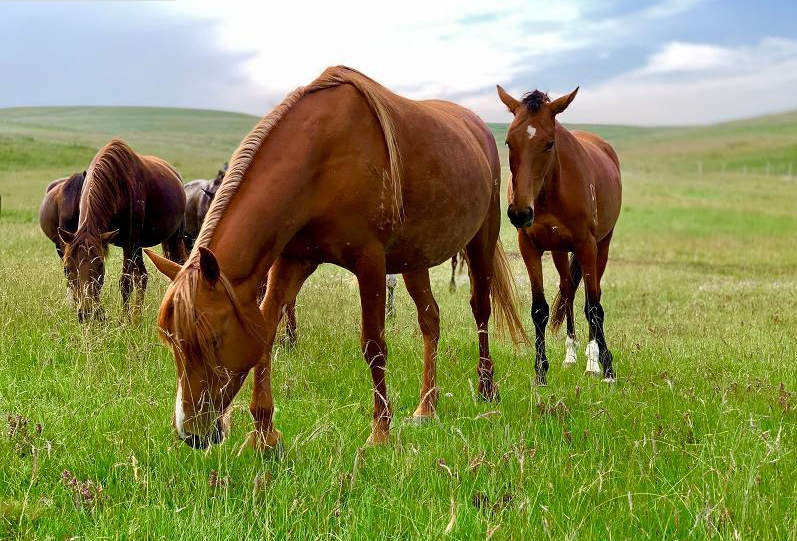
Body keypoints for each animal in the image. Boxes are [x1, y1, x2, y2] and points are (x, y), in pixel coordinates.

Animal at [59, 139, 187, 320]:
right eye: (66, 268)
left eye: (100, 266)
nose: (86, 312)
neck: (117, 185)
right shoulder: (131, 244)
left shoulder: (129, 242)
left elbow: (125, 283)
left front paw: (124, 320)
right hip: (139, 246)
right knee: (142, 276)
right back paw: (137, 317)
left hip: (172, 238)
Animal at [145, 65, 524, 450]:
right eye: (172, 341)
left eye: (212, 339)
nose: (192, 434)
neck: (320, 159)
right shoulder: (292, 260)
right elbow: (267, 332)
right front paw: (265, 435)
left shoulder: (370, 262)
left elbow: (374, 345)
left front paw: (380, 433)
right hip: (414, 259)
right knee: (430, 320)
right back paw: (426, 408)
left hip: (481, 241)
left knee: (480, 309)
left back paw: (486, 388)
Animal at [498, 85, 620, 384]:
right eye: (508, 142)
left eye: (549, 143)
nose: (520, 212)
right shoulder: (529, 246)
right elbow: (539, 309)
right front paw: (540, 372)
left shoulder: (587, 246)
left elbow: (594, 308)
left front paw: (607, 369)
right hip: (559, 251)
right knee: (568, 291)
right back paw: (571, 355)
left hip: (602, 245)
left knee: (591, 296)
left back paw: (591, 360)